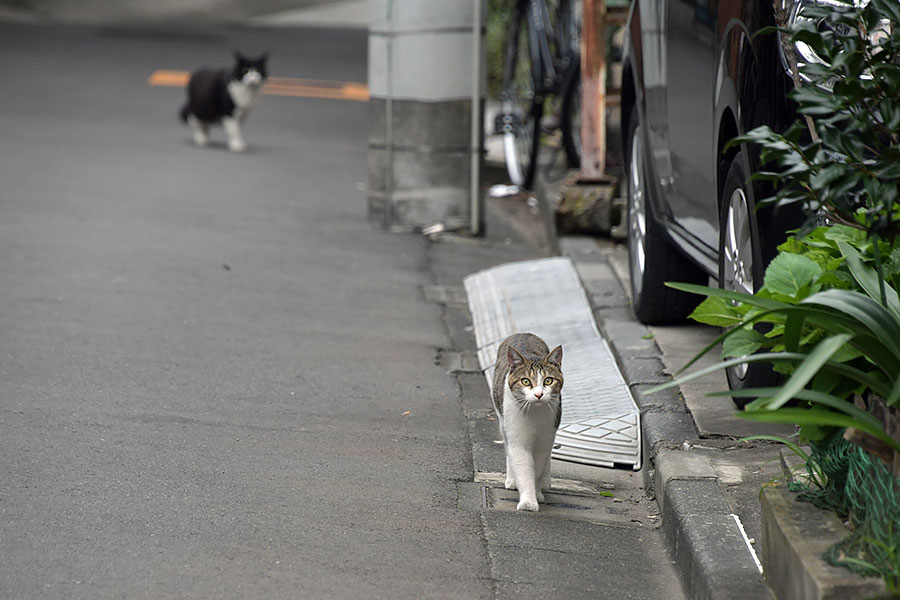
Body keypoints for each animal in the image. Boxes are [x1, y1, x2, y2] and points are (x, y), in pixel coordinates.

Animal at [492, 332, 564, 510]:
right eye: (525, 381)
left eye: (548, 380)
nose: (539, 394)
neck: (535, 412)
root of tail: (523, 333)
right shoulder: (517, 436)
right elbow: (523, 466)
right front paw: (528, 501)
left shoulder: (547, 435)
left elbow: (538, 465)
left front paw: (537, 493)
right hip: (503, 420)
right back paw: (511, 480)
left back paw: (545, 482)